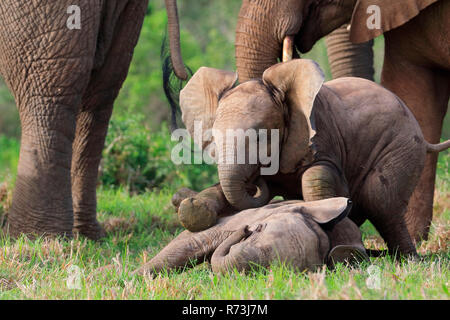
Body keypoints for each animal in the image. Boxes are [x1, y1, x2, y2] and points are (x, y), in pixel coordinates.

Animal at [176, 58, 450, 256]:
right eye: (214, 137)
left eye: (261, 137)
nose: (256, 181)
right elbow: (224, 191)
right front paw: (192, 210)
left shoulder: (321, 136)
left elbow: (317, 177)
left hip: (402, 147)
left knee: (380, 200)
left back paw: (407, 260)